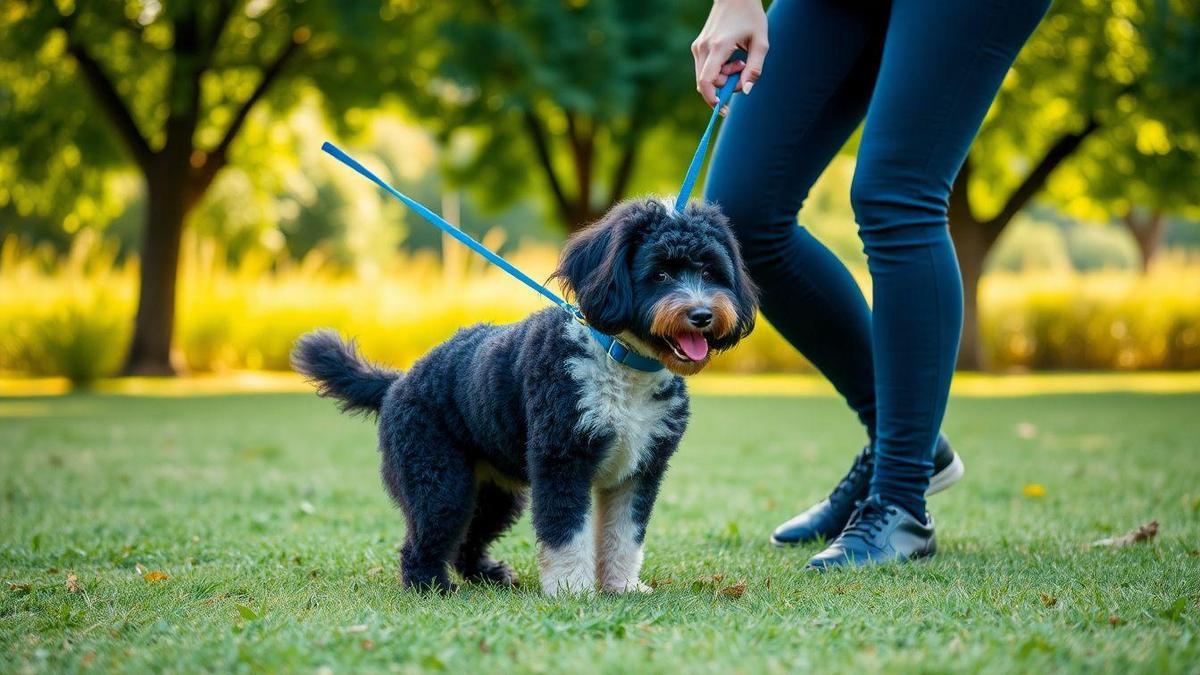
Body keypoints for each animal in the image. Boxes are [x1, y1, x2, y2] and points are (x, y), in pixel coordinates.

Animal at [290, 195, 753, 593]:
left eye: (711, 272)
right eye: (659, 273)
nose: (702, 314)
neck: (620, 360)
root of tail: (398, 382)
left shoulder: (640, 472)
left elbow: (624, 535)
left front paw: (621, 586)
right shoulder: (562, 461)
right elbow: (566, 531)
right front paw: (571, 590)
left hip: (494, 493)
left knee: (467, 541)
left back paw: (487, 575)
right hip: (439, 481)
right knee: (421, 542)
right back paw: (431, 586)